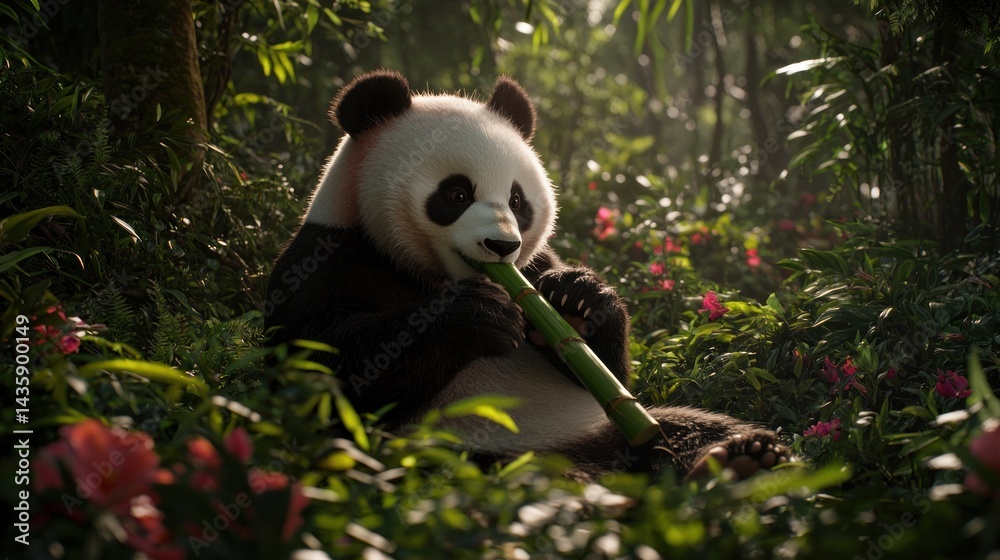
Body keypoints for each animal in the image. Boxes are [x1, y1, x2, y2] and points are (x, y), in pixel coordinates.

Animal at [265, 70, 789, 481]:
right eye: (456, 194)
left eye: (518, 201)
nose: (502, 246)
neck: (431, 275)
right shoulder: (330, 256)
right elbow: (326, 370)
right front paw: (475, 315)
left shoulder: (535, 267)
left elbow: (607, 370)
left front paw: (579, 301)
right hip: (464, 451)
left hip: (604, 426)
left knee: (690, 426)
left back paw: (739, 458)